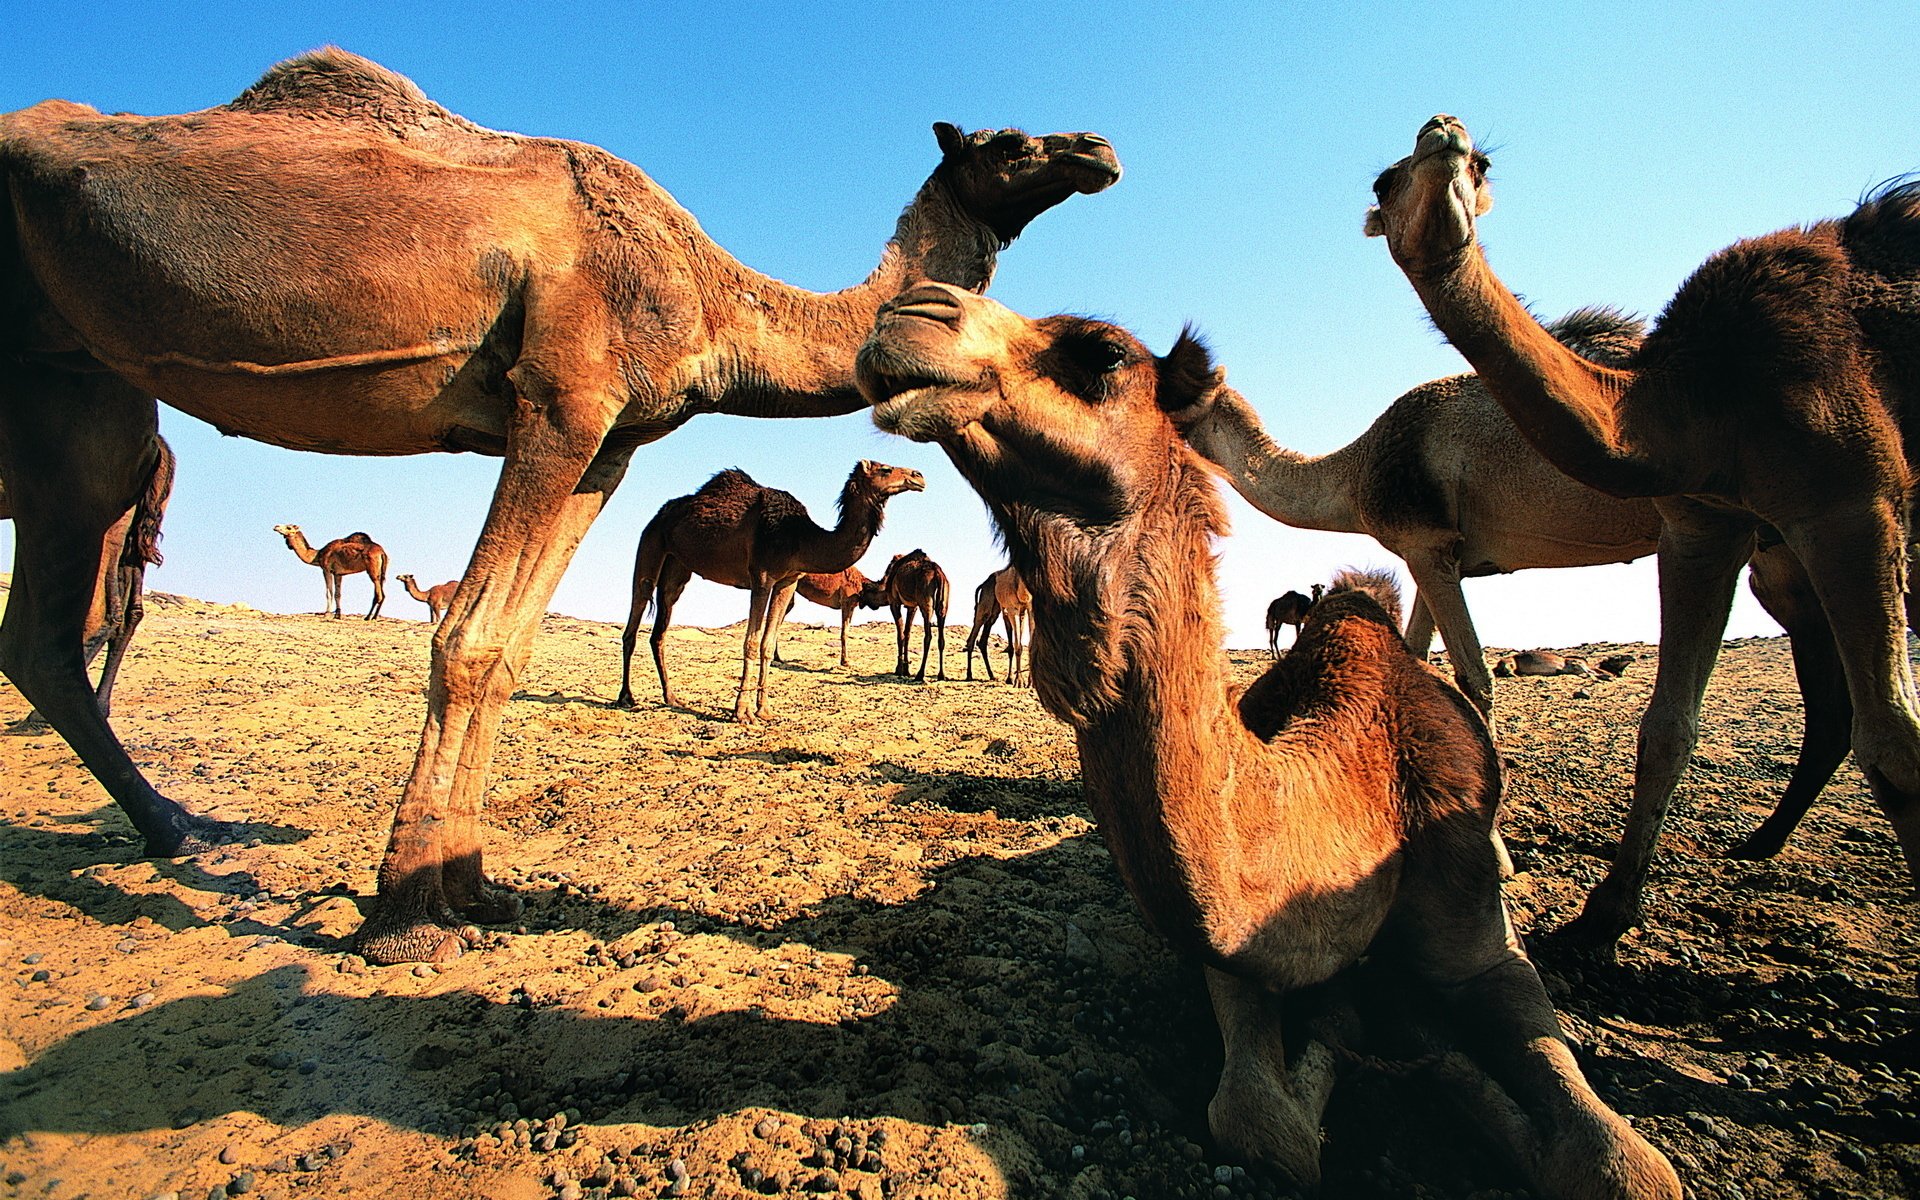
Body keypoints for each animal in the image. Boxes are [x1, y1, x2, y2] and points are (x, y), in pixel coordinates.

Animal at [616, 461, 924, 722]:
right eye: (885, 469)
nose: (919, 476)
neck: (801, 537)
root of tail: (660, 514)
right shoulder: (761, 577)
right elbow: (751, 642)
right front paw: (742, 712)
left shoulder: (788, 581)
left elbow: (766, 643)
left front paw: (764, 709)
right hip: (651, 545)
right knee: (636, 613)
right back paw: (626, 697)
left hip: (677, 567)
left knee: (660, 628)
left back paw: (671, 697)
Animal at [870, 548, 949, 680]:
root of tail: (938, 573)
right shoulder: (912, 606)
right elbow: (907, 633)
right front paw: (906, 669)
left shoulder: (894, 602)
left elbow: (900, 634)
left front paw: (899, 669)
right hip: (943, 606)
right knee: (941, 638)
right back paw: (941, 675)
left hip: (926, 603)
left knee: (928, 636)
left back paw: (920, 674)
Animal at [1366, 114, 1920, 947]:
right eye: (1384, 178)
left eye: (1481, 163)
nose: (1443, 132)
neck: (1699, 397)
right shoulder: (1704, 525)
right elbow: (1665, 730)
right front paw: (1608, 907)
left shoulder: (1855, 500)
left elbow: (1895, 741)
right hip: (1784, 562)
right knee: (1826, 701)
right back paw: (1757, 841)